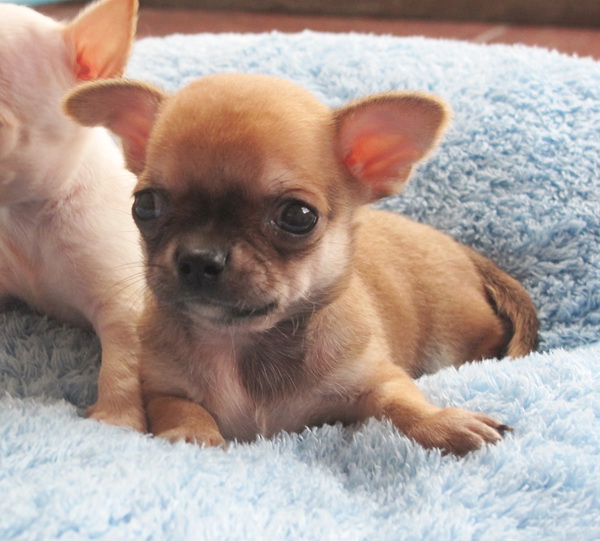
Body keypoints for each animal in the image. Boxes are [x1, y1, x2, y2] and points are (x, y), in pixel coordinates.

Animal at [64, 73, 538, 454]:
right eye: (145, 205)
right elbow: (182, 408)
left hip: (452, 331)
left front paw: (444, 424)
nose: (199, 258)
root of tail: (462, 249)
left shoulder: (378, 381)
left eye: (298, 216)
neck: (238, 345)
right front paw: (193, 435)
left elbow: (404, 404)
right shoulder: (162, 388)